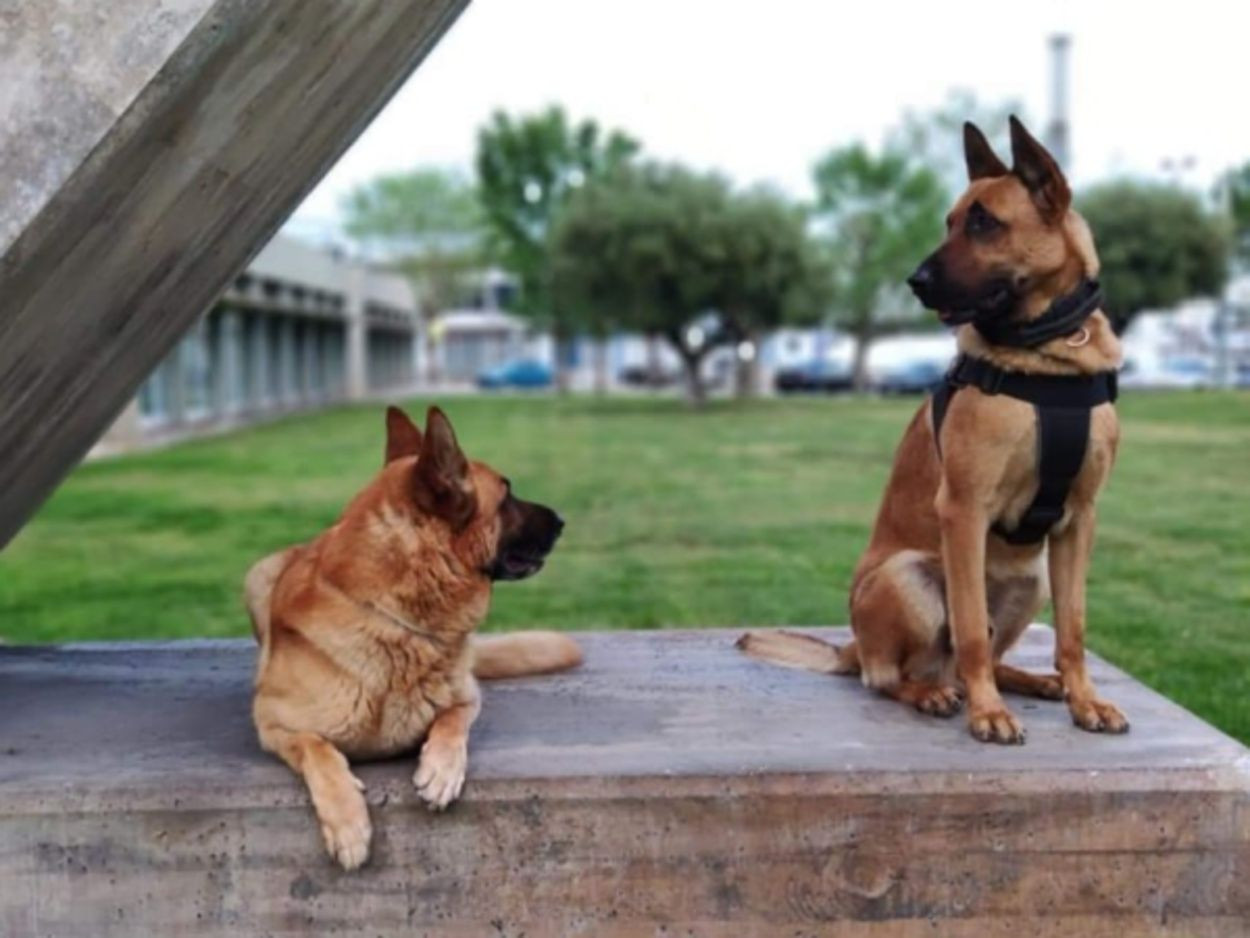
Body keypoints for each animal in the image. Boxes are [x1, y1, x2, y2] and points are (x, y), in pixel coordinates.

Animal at [243, 407, 580, 870]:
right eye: (507, 495)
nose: (564, 520)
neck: (397, 624)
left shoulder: (467, 697)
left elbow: (452, 719)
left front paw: (440, 769)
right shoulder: (272, 722)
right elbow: (319, 751)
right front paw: (348, 822)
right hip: (258, 574)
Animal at [735, 119, 1130, 750]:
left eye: (984, 222)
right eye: (949, 221)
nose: (914, 282)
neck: (1046, 356)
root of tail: (851, 648)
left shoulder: (1079, 520)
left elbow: (1073, 630)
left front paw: (1084, 699)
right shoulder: (964, 510)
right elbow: (968, 629)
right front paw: (989, 715)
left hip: (1033, 580)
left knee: (988, 657)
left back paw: (1031, 682)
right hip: (907, 578)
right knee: (891, 676)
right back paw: (931, 693)